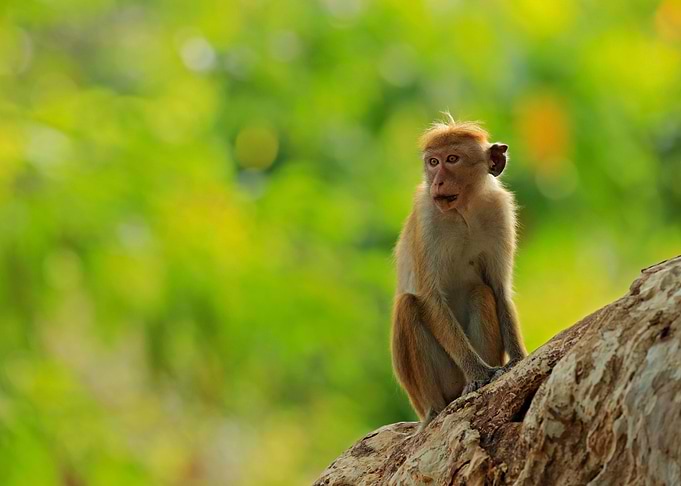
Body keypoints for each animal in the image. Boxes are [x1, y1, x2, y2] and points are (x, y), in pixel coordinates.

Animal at [390, 116, 527, 429]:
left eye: (452, 159)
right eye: (433, 162)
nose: (437, 181)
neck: (463, 211)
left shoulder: (500, 212)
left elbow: (499, 289)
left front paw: (517, 359)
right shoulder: (427, 217)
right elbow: (430, 297)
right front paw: (478, 373)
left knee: (481, 292)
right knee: (408, 305)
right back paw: (437, 409)